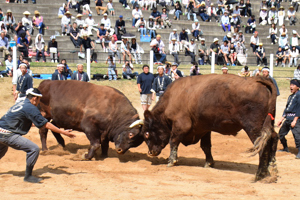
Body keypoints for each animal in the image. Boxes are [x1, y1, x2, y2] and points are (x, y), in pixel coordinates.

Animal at [139, 74, 278, 181]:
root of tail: (256, 81)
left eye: (146, 134)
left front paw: (171, 161)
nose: (151, 152)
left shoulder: (180, 125)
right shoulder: (204, 128)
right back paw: (272, 170)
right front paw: (209, 163)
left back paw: (260, 174)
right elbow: (206, 146)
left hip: (254, 129)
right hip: (268, 125)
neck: (172, 98)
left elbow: (173, 141)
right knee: (273, 139)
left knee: (262, 146)